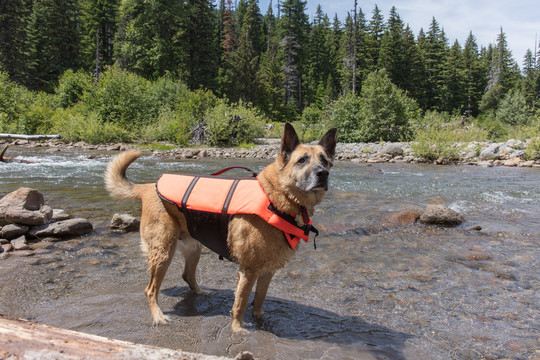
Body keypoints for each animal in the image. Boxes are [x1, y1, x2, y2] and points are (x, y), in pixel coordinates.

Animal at [103, 124, 336, 332]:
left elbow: (259, 299)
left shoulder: (267, 271)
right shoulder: (249, 270)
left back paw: (200, 292)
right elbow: (240, 303)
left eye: (325, 161)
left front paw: (260, 319)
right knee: (150, 289)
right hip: (163, 253)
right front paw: (237, 330)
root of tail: (148, 186)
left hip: (193, 248)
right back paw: (158, 316)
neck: (278, 199)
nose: (322, 173)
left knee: (187, 275)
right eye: (302, 160)